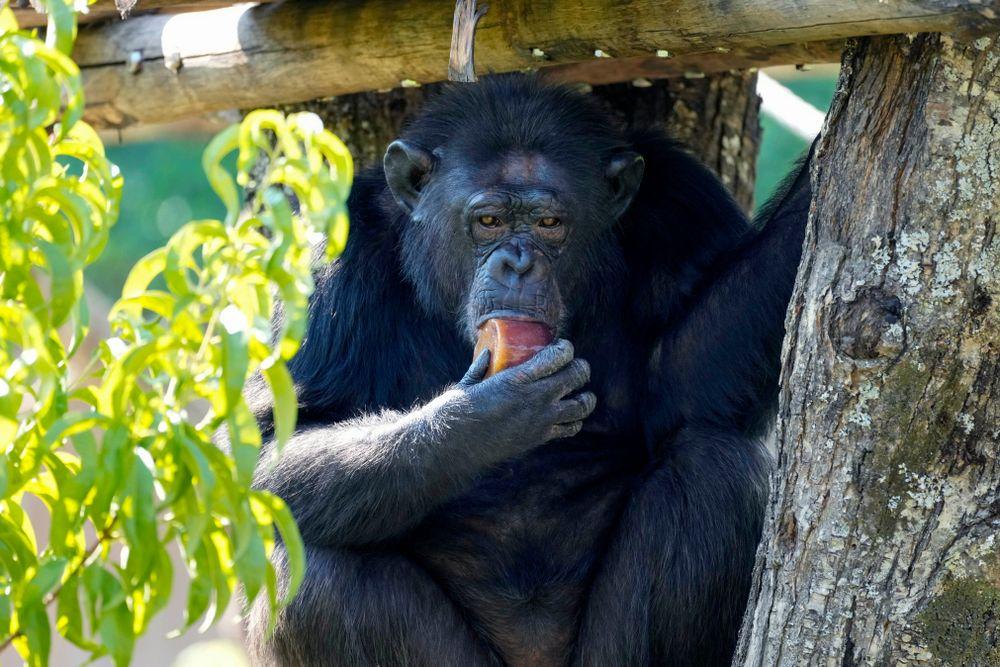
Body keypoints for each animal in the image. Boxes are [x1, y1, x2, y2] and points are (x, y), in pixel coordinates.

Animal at [242, 74, 812, 667]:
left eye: (549, 223)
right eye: (488, 221)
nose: (517, 262)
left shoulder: (686, 207)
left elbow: (686, 377)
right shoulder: (327, 255)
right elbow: (274, 445)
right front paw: (486, 419)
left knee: (719, 473)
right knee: (316, 578)